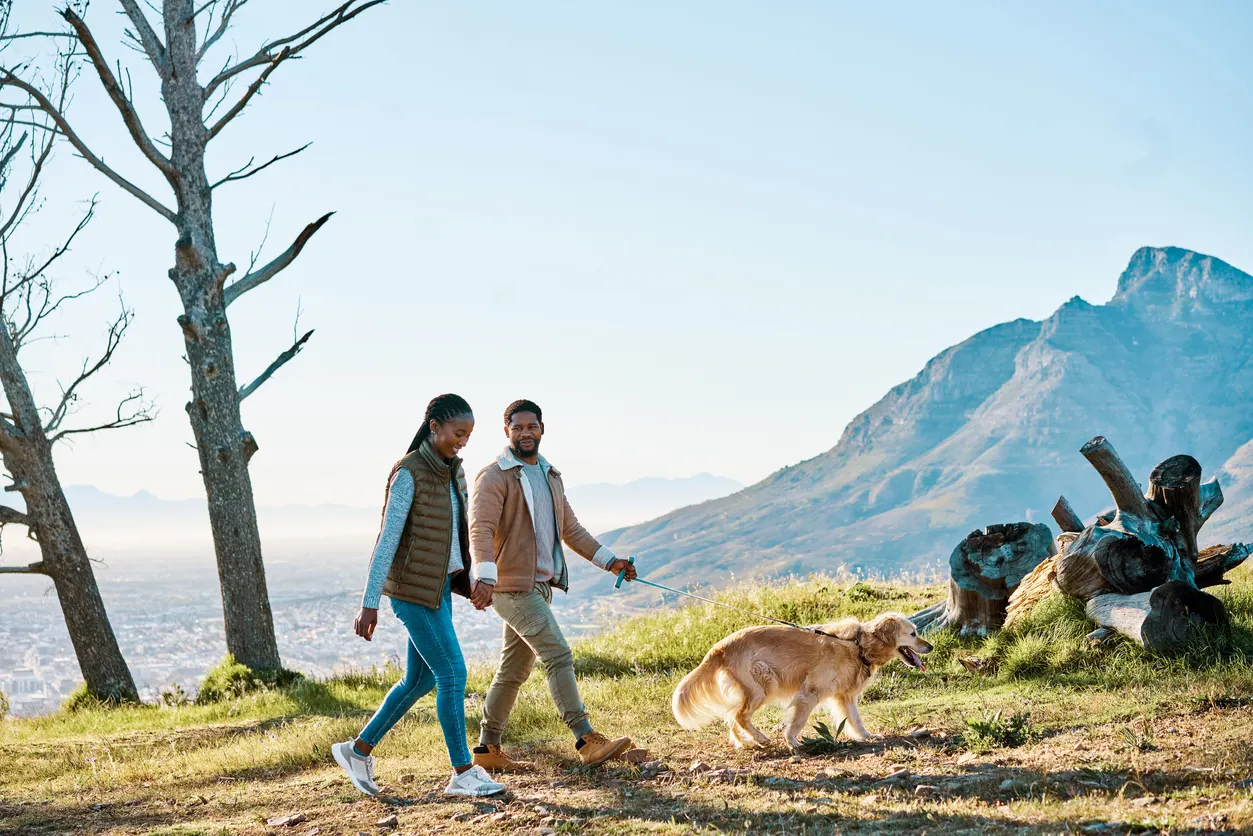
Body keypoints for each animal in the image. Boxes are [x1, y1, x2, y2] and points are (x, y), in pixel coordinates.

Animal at [676, 611, 932, 757]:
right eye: (913, 633)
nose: (930, 646)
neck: (859, 645)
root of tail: (719, 647)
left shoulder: (846, 696)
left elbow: (856, 719)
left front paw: (866, 736)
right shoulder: (810, 692)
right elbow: (797, 721)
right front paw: (792, 742)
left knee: (732, 716)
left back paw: (746, 742)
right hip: (764, 682)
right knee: (739, 716)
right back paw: (760, 738)